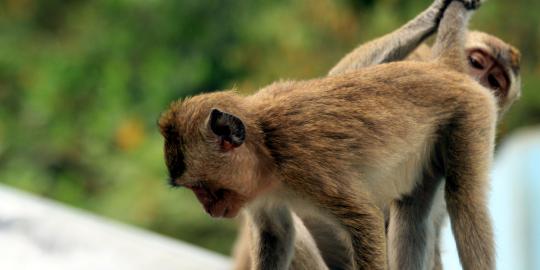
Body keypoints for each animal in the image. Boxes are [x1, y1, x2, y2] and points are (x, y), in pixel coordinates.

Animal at [158, 1, 496, 268]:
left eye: (202, 187)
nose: (209, 209)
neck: (267, 149)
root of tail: (442, 69)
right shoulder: (259, 189)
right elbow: (276, 235)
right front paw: (432, 14)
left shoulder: (308, 170)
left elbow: (365, 221)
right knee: (415, 216)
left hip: (471, 113)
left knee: (465, 202)